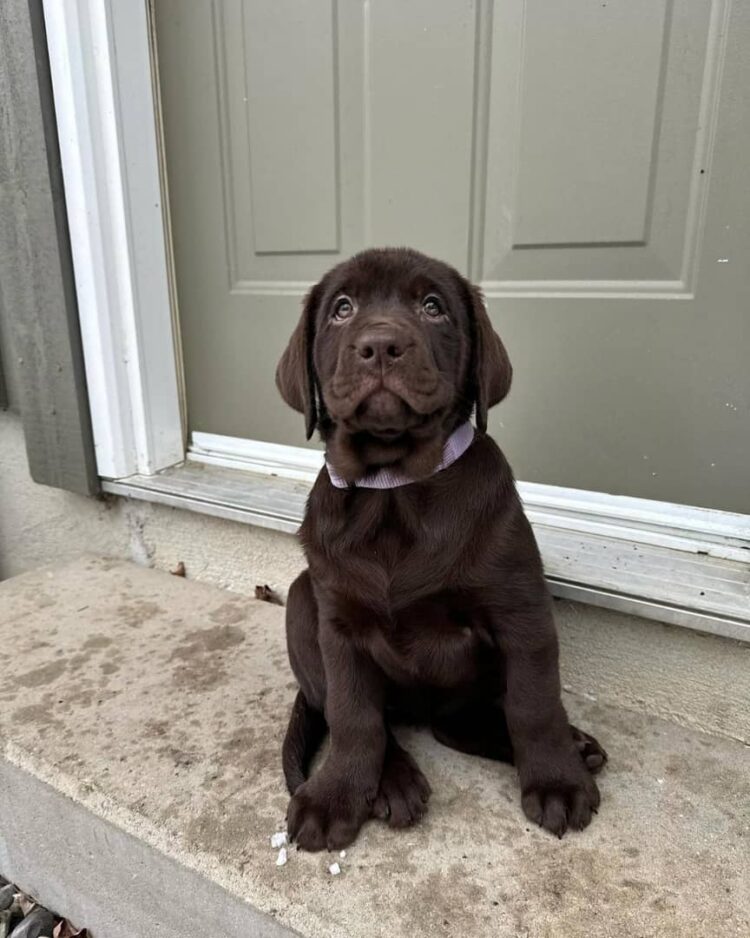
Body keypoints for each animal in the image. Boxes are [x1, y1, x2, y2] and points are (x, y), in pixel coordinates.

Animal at [274, 247, 608, 848]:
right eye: (342, 308)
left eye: (433, 307)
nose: (381, 345)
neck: (393, 490)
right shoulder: (338, 627)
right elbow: (354, 717)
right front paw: (336, 795)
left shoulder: (521, 613)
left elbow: (534, 704)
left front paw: (557, 781)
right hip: (301, 599)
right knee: (351, 714)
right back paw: (392, 781)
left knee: (459, 725)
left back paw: (573, 748)